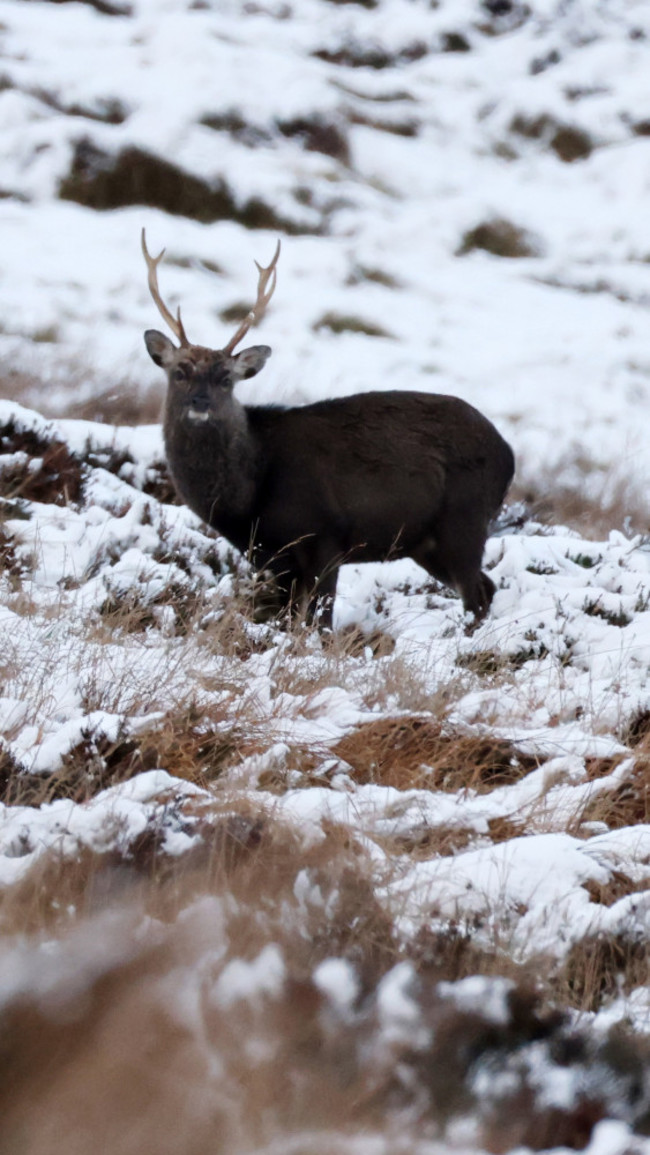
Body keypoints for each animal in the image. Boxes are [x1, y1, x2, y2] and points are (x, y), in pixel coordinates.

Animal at [142, 231, 514, 629]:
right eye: (179, 372)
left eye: (226, 378)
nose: (200, 403)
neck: (250, 495)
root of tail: (509, 455)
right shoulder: (270, 556)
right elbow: (289, 618)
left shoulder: (327, 537)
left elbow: (319, 621)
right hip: (427, 543)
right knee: (486, 587)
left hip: (465, 520)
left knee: (476, 594)